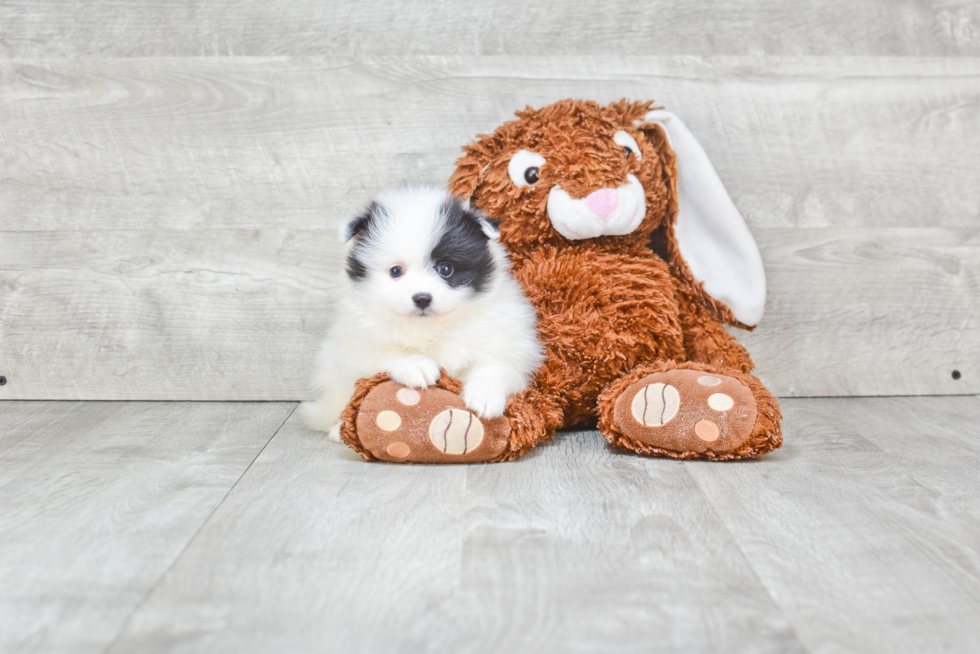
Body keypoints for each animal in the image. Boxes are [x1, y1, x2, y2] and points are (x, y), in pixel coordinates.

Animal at [302, 187, 544, 444]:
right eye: (396, 271)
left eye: (446, 269)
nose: (422, 298)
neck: (432, 327)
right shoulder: (353, 345)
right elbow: (382, 353)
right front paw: (416, 365)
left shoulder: (508, 340)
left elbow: (497, 365)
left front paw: (485, 396)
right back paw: (339, 429)